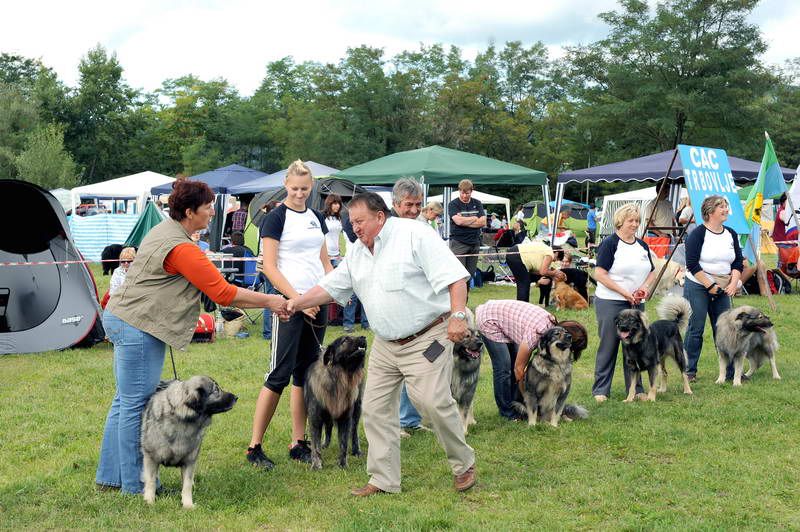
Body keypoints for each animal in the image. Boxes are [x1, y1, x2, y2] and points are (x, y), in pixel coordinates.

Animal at [304, 336, 368, 470]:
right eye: (345, 340)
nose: (363, 337)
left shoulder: (345, 417)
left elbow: (343, 443)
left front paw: (343, 464)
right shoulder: (315, 418)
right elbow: (315, 445)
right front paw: (316, 464)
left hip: (357, 408)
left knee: (354, 431)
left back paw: (356, 451)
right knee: (328, 427)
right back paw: (325, 444)